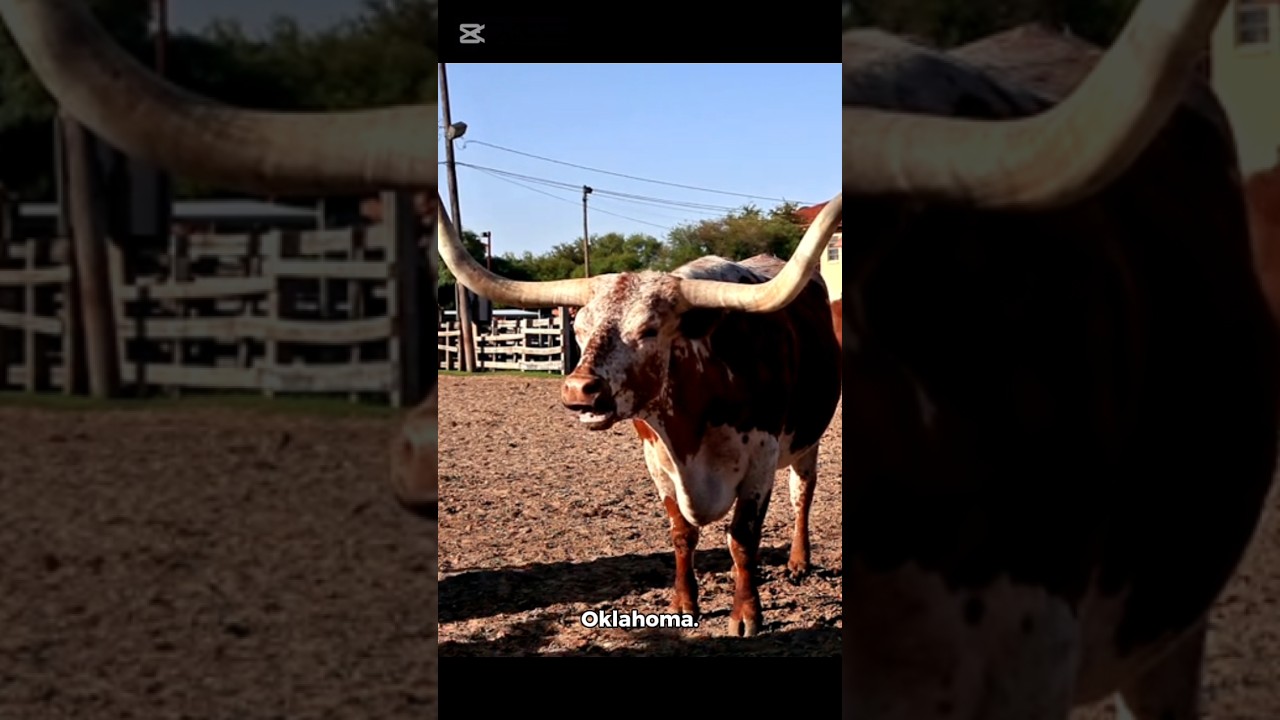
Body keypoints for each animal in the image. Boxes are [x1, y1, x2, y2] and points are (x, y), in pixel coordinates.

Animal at [435, 193, 843, 637]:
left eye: (648, 330)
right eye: (579, 328)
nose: (579, 389)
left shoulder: (760, 462)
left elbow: (742, 539)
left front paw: (746, 614)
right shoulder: (658, 463)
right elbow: (682, 534)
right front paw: (683, 604)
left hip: (807, 439)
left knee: (802, 492)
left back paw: (798, 562)